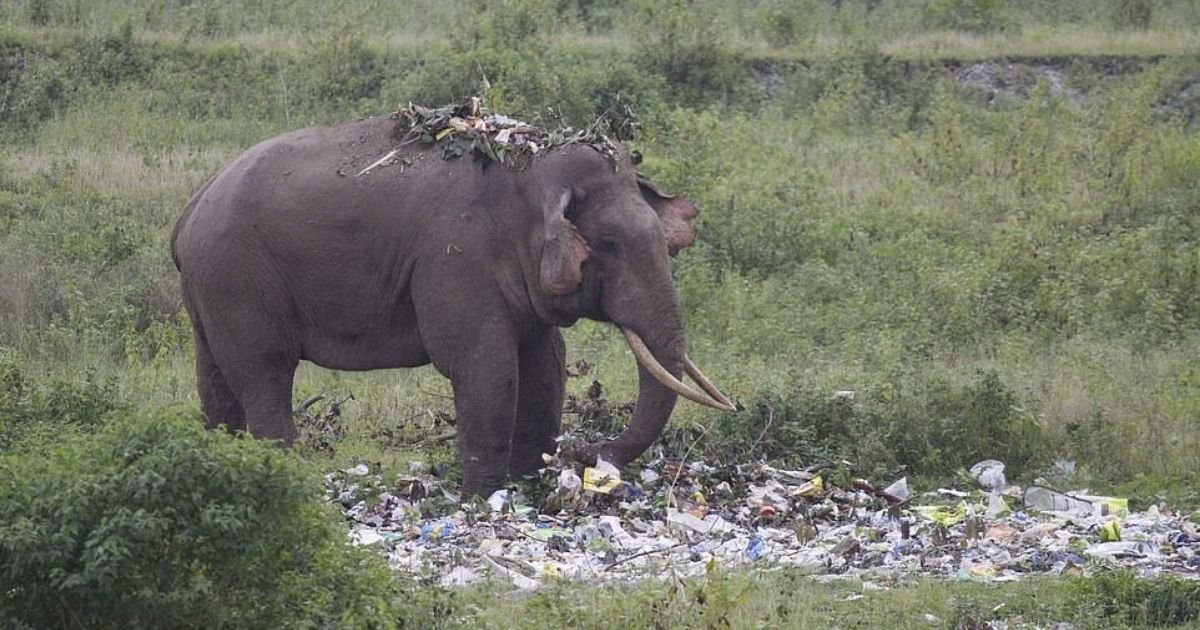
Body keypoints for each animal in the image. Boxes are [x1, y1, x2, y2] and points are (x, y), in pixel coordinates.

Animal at [169, 112, 729, 496]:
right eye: (609, 245)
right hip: (237, 278)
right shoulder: (456, 255)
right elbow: (485, 366)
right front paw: (484, 500)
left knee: (216, 379)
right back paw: (284, 477)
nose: (585, 453)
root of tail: (190, 208)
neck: (528, 168)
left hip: (209, 290)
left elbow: (546, 364)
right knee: (263, 373)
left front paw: (527, 487)